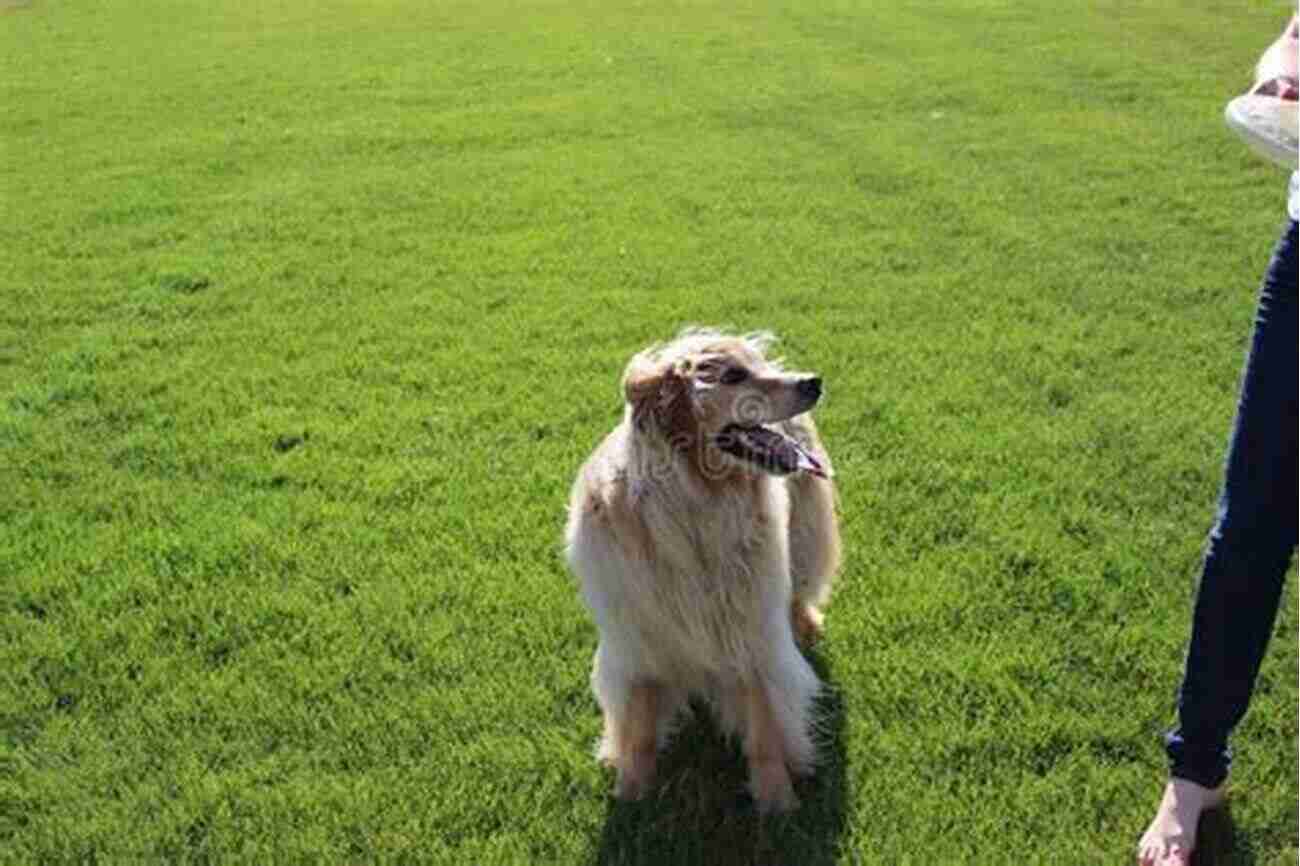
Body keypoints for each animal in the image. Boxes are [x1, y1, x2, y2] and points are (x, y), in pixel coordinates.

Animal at [564, 325, 837, 811]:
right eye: (732, 376)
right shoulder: (637, 642)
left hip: (805, 537)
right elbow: (637, 729)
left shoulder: (753, 633)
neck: (695, 508)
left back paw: (805, 624)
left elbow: (765, 728)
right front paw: (631, 794)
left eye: (756, 367)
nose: (813, 382)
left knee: (801, 590)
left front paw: (777, 801)